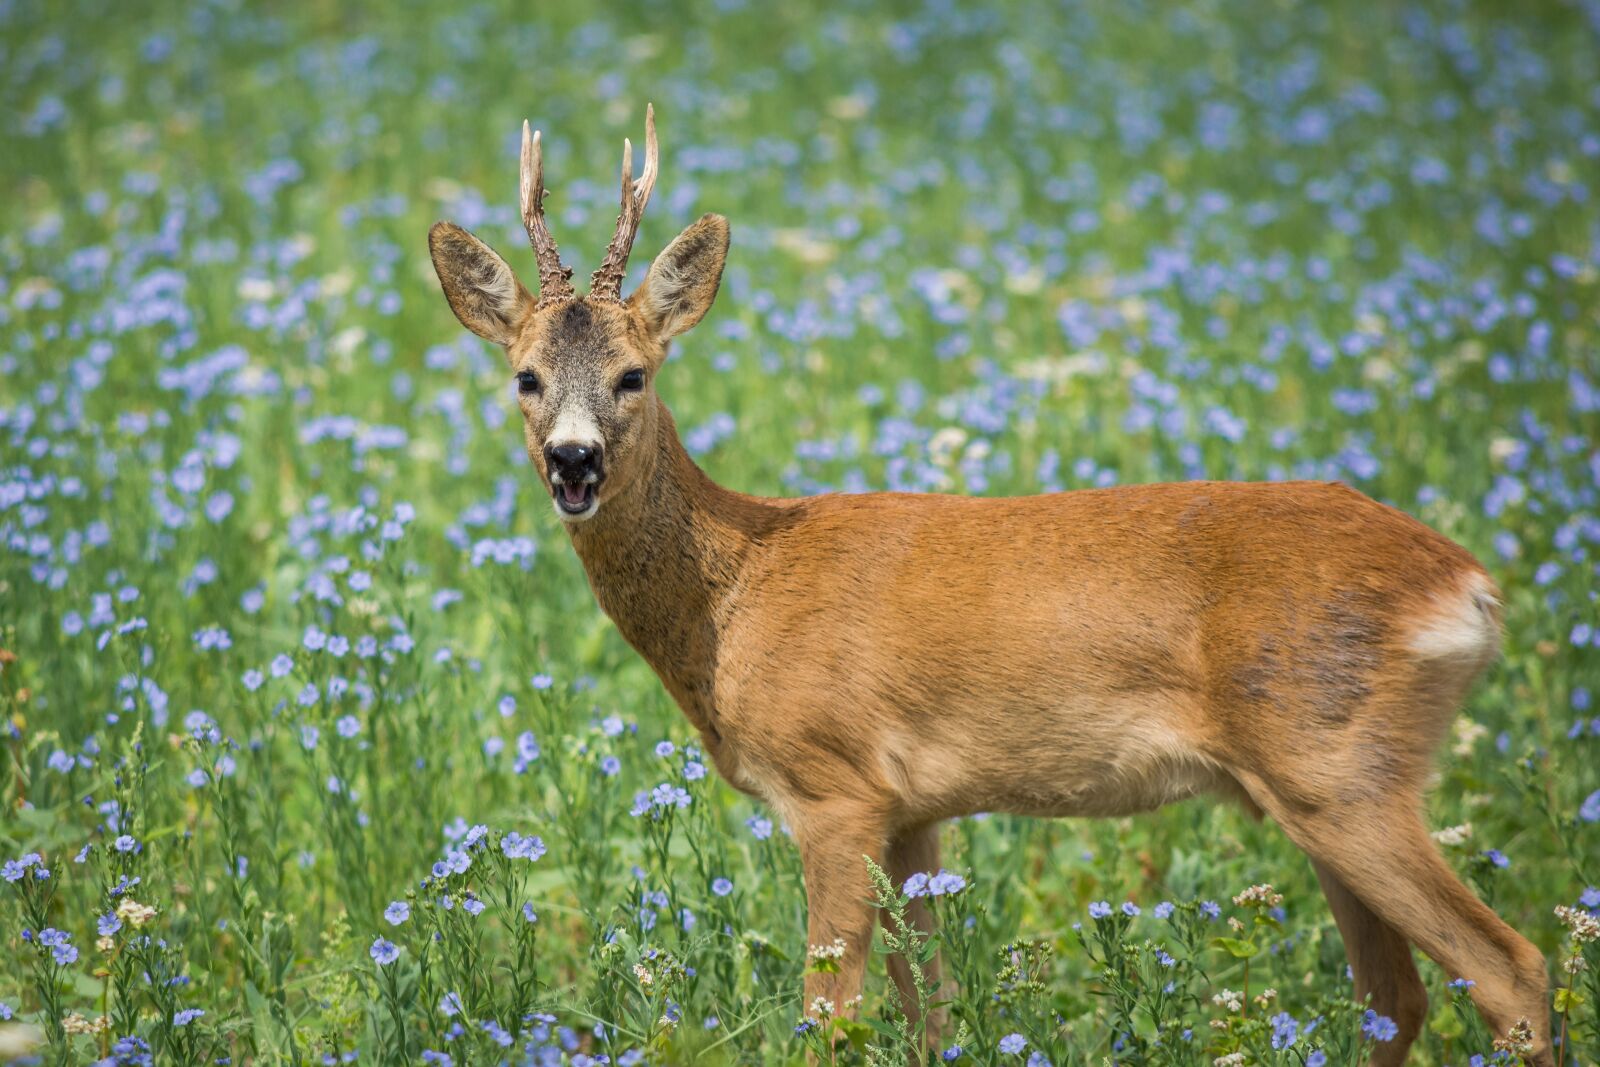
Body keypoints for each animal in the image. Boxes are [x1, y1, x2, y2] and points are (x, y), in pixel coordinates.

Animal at [426, 106, 1552, 1066]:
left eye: (635, 374)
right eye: (526, 375)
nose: (573, 460)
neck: (736, 594)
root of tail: (1468, 585)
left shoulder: (833, 785)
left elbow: (827, 1019)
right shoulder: (914, 808)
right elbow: (934, 1010)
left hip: (1339, 766)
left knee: (1511, 969)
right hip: (1322, 787)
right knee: (1396, 996)